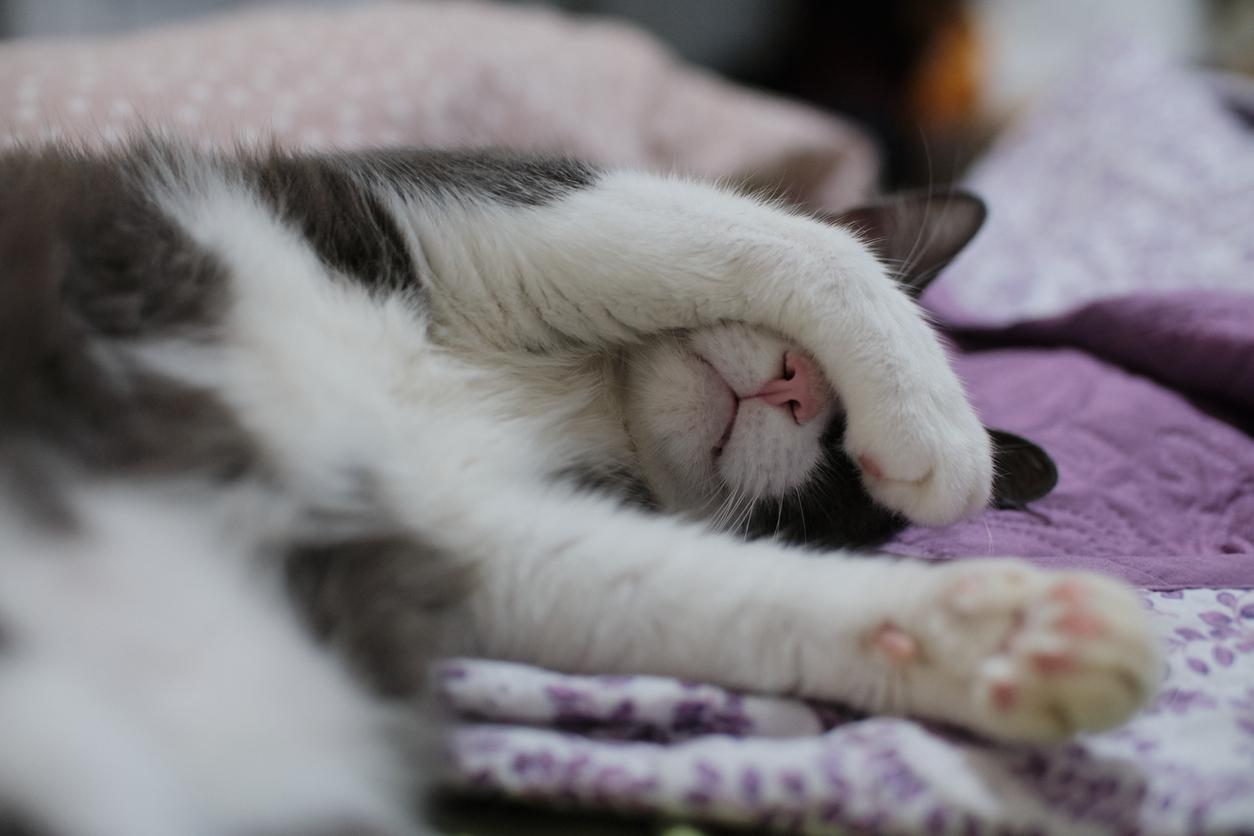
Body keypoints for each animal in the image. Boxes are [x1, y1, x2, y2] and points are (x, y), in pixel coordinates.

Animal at [0, 142, 1153, 836]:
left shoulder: (459, 517)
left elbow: (689, 594)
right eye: (840, 446)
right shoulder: (480, 199)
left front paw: (1009, 638)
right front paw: (936, 422)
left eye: (829, 479)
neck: (593, 401)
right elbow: (787, 237)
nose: (803, 388)